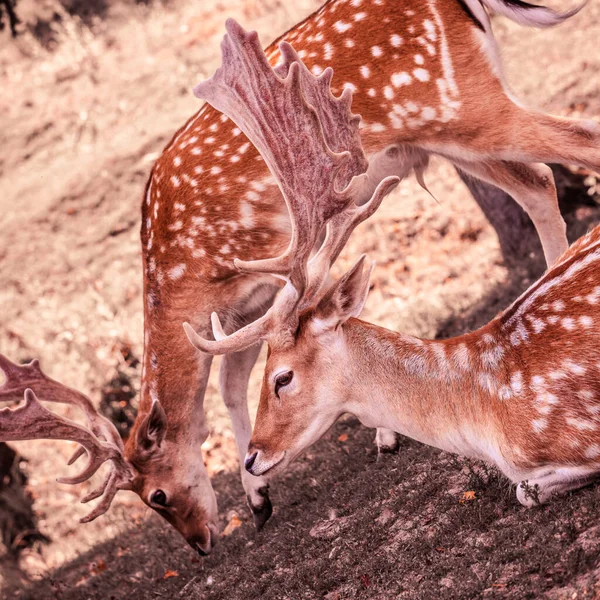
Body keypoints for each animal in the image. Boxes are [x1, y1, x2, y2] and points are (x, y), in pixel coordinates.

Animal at [1, 0, 600, 552]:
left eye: (157, 495)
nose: (199, 543)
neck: (180, 276)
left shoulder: (270, 269)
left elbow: (268, 352)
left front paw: (357, 448)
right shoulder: (242, 307)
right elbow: (234, 377)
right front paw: (261, 495)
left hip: (461, 107)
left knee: (580, 139)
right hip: (448, 138)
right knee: (539, 183)